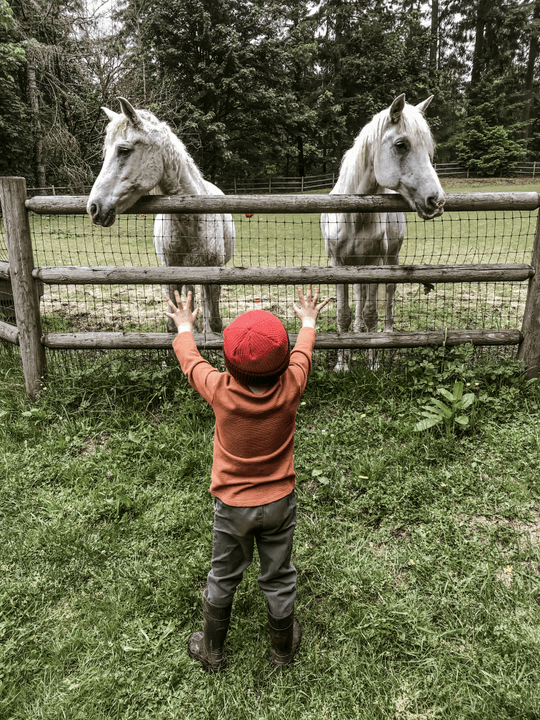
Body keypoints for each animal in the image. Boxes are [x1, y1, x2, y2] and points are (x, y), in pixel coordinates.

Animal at [87, 97, 235, 334]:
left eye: (124, 150)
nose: (93, 208)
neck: (190, 224)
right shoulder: (170, 274)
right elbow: (174, 323)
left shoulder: (213, 275)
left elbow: (213, 322)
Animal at [321, 93, 445, 371]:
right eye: (401, 144)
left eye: (429, 149)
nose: (437, 200)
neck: (354, 216)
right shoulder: (338, 264)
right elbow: (344, 313)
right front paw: (342, 364)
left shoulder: (376, 262)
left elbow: (372, 313)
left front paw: (373, 363)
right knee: (359, 297)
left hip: (390, 260)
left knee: (387, 297)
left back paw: (387, 339)